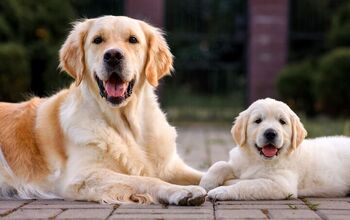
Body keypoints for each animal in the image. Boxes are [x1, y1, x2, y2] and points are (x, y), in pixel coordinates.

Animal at [0, 16, 205, 205]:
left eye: (133, 39)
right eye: (97, 40)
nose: (113, 55)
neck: (128, 126)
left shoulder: (170, 167)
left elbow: (203, 174)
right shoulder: (83, 176)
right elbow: (145, 179)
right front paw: (183, 191)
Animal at [201, 99, 350, 200]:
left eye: (282, 121)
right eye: (258, 120)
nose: (270, 133)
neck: (258, 160)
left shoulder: (282, 185)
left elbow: (247, 185)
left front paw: (221, 191)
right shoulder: (239, 163)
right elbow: (220, 164)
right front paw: (207, 182)